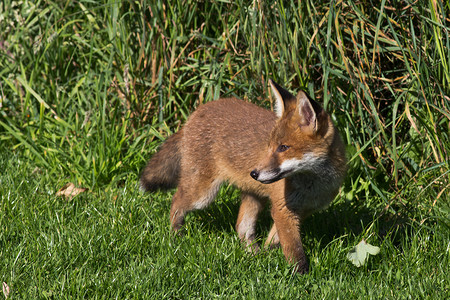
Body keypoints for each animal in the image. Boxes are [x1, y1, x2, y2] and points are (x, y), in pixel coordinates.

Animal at [141, 80, 348, 274]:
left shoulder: (301, 211)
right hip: (203, 195)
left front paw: (267, 255)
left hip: (253, 196)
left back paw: (252, 255)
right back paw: (176, 236)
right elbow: (294, 249)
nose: (254, 173)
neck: (313, 187)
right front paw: (300, 275)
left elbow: (274, 240)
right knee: (176, 202)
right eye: (270, 146)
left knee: (242, 227)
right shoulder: (283, 209)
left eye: (283, 148)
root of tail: (197, 112)